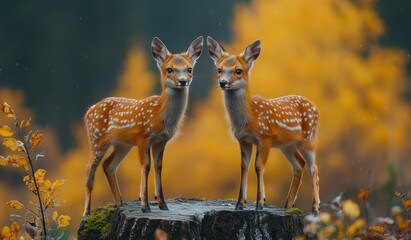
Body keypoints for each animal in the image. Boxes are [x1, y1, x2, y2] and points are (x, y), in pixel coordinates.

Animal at [82, 36, 204, 215]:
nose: (182, 81)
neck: (160, 116)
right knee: (89, 170)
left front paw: (162, 204)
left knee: (108, 165)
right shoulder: (143, 136)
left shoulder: (161, 140)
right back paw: (86, 212)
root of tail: (88, 111)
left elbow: (158, 166)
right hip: (97, 139)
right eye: (169, 69)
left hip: (122, 145)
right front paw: (145, 205)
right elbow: (145, 166)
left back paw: (120, 203)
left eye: (189, 69)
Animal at [208, 36, 320, 213]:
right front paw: (239, 204)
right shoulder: (243, 140)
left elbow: (259, 166)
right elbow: (244, 167)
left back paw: (315, 208)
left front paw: (260, 204)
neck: (249, 119)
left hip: (309, 139)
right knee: (299, 165)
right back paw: (288, 205)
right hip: (287, 145)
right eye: (219, 70)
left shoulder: (265, 137)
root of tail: (316, 107)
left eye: (238, 71)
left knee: (313, 168)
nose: (223, 82)